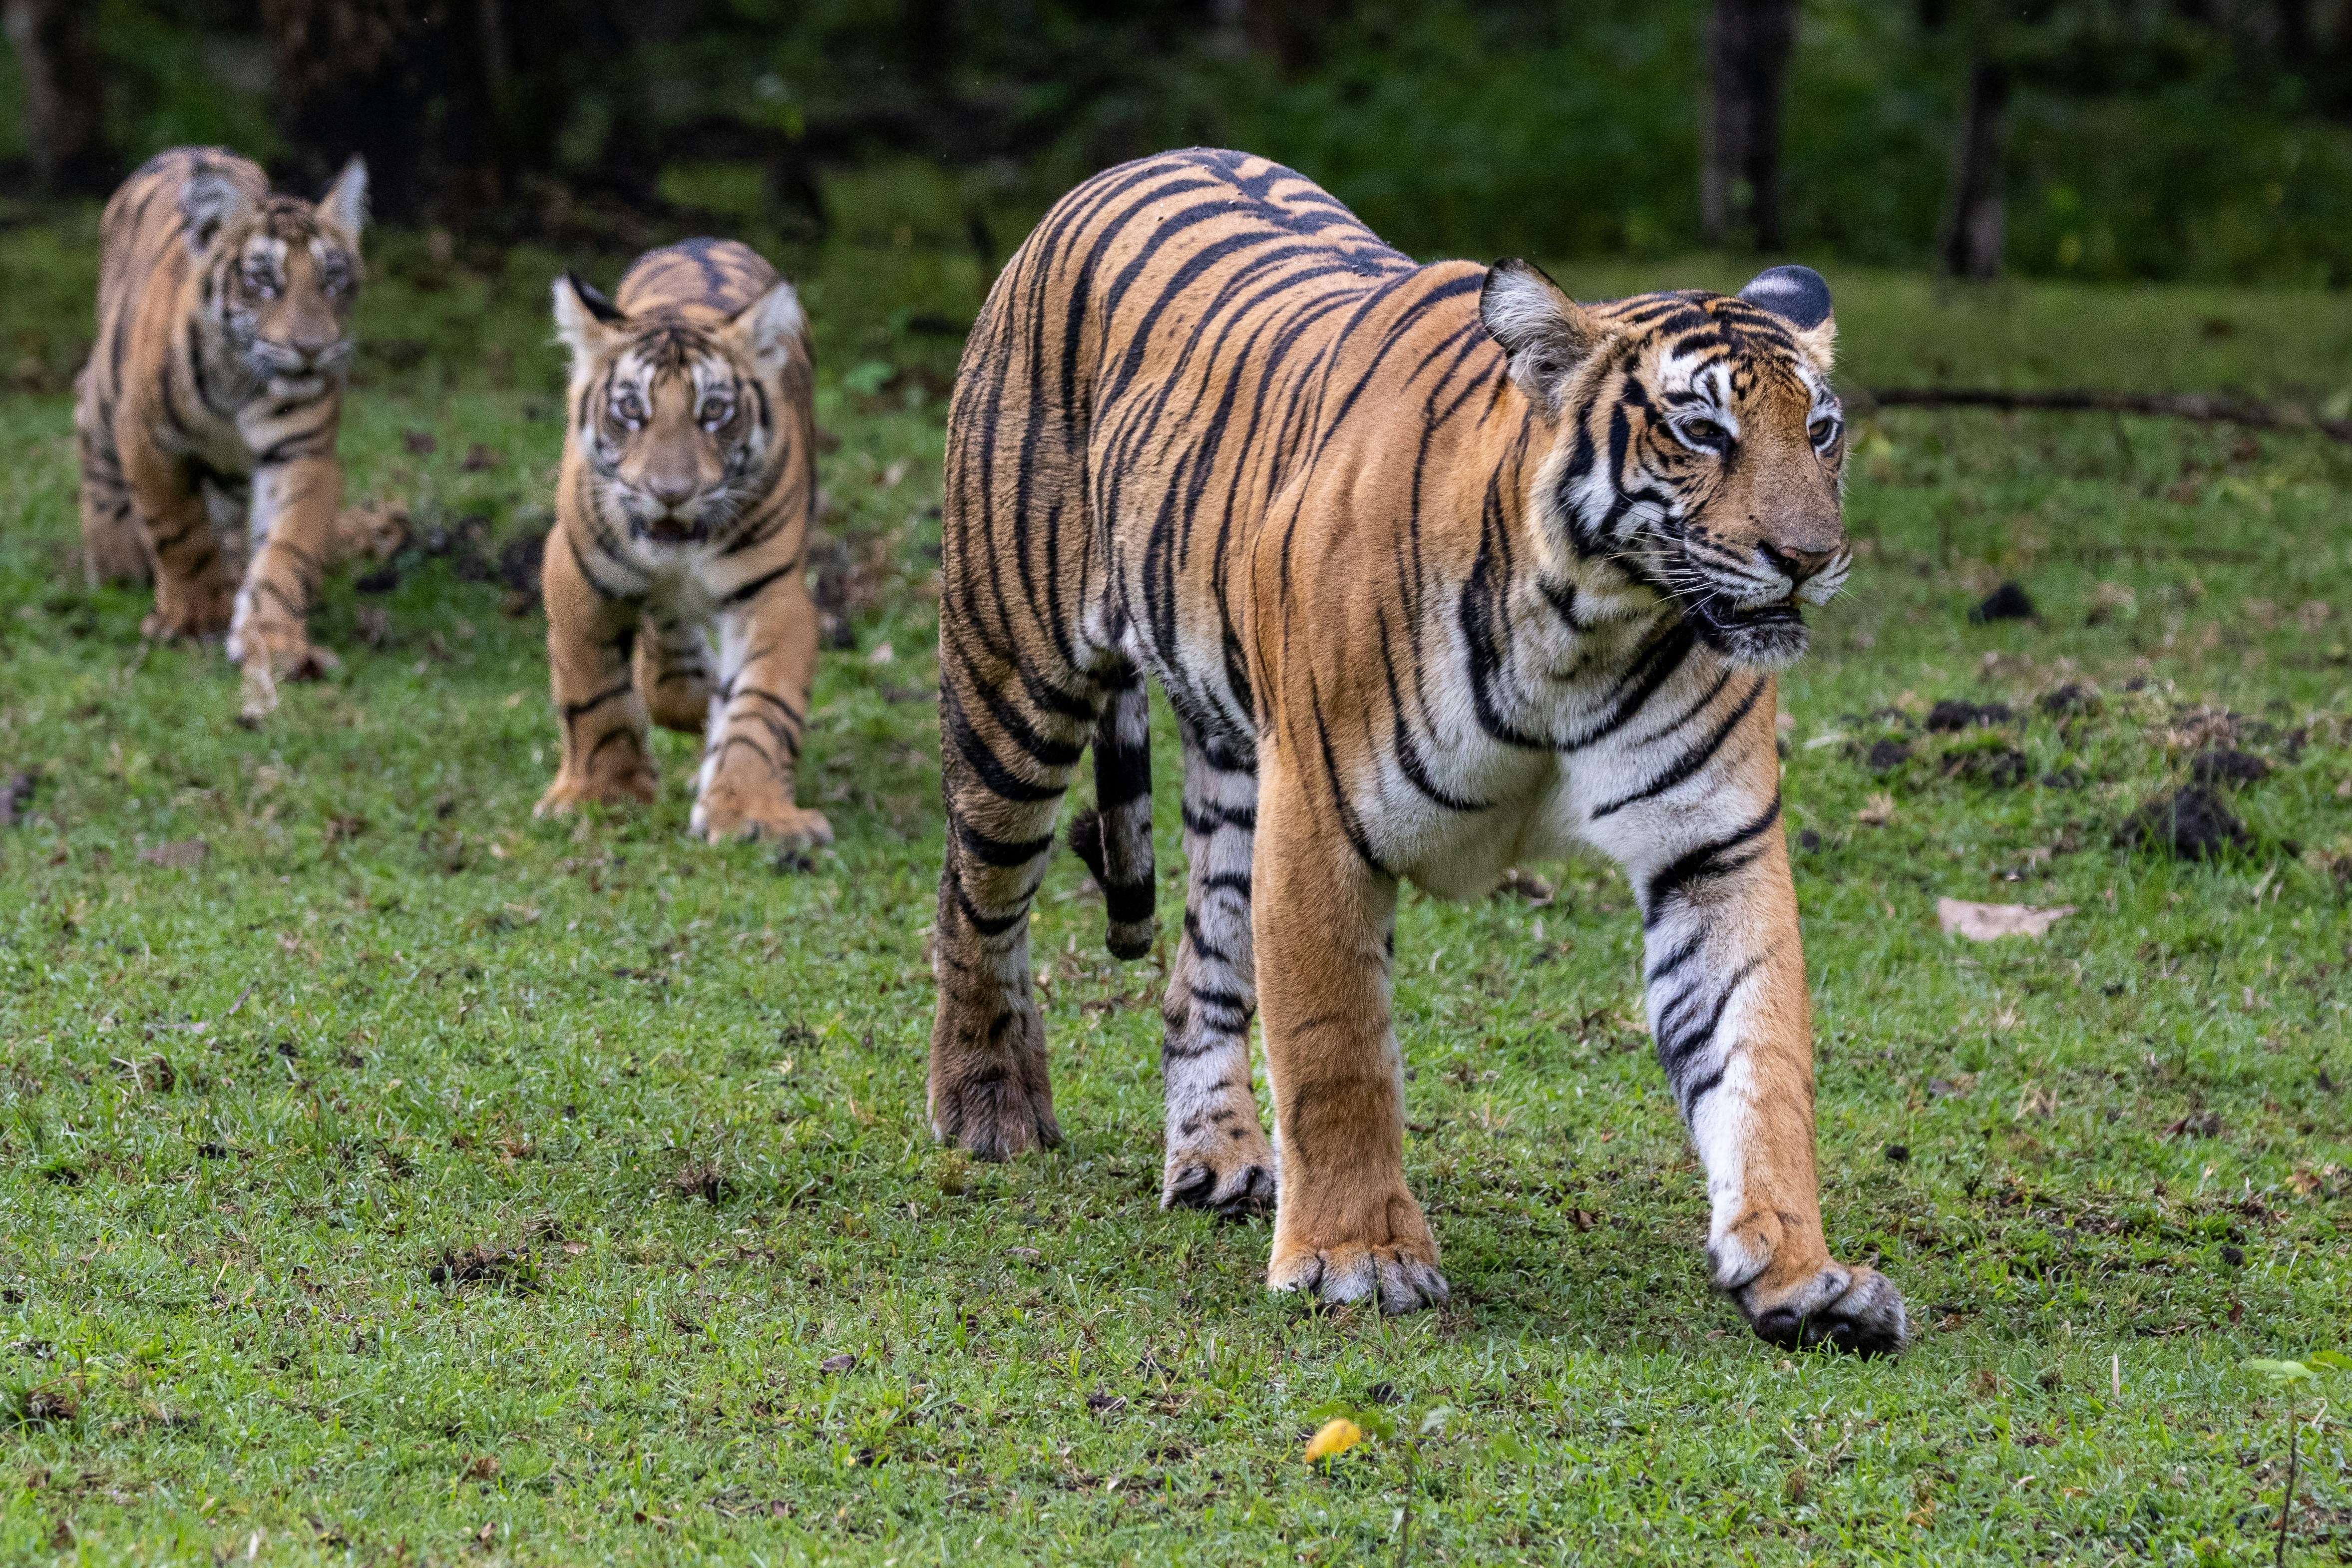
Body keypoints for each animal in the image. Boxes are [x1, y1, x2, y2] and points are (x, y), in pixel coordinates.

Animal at [74, 146, 369, 720]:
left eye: (332, 278)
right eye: (264, 280)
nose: (312, 349)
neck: (241, 378)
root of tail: (187, 149)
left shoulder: (303, 454)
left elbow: (286, 548)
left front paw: (272, 637)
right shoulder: (148, 441)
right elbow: (180, 532)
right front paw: (193, 616)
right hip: (105, 388)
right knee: (87, 424)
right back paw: (115, 558)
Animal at [533, 239, 831, 850]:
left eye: (713, 410)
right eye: (630, 409)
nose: (670, 493)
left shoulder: (774, 595)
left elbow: (763, 708)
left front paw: (753, 811)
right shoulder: (575, 572)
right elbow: (592, 690)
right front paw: (602, 792)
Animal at [927, 149, 1907, 1353]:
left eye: (1820, 432)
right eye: (1701, 432)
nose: (1810, 557)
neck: (1586, 625)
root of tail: (1128, 165)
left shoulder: (1714, 848)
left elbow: (1758, 1061)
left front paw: (1802, 1276)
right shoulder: (1320, 823)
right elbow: (1335, 1047)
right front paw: (1357, 1261)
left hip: (1234, 772)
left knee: (1199, 971)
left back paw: (1219, 1160)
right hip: (1014, 682)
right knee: (976, 898)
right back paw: (988, 1109)